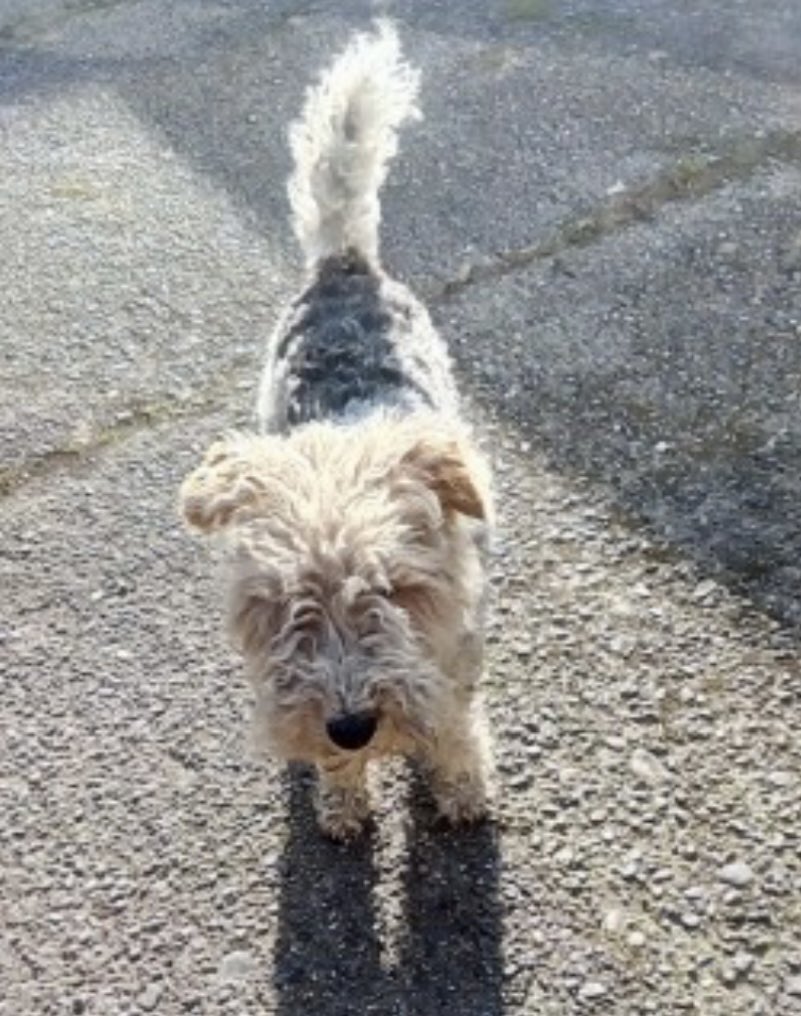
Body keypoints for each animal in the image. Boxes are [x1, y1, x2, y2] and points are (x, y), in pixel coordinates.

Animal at [180, 19, 494, 837]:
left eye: (398, 588)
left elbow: (453, 721)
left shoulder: (456, 649)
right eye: (278, 603)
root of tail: (344, 262)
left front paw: (460, 789)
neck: (346, 432)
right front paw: (344, 801)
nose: (351, 725)